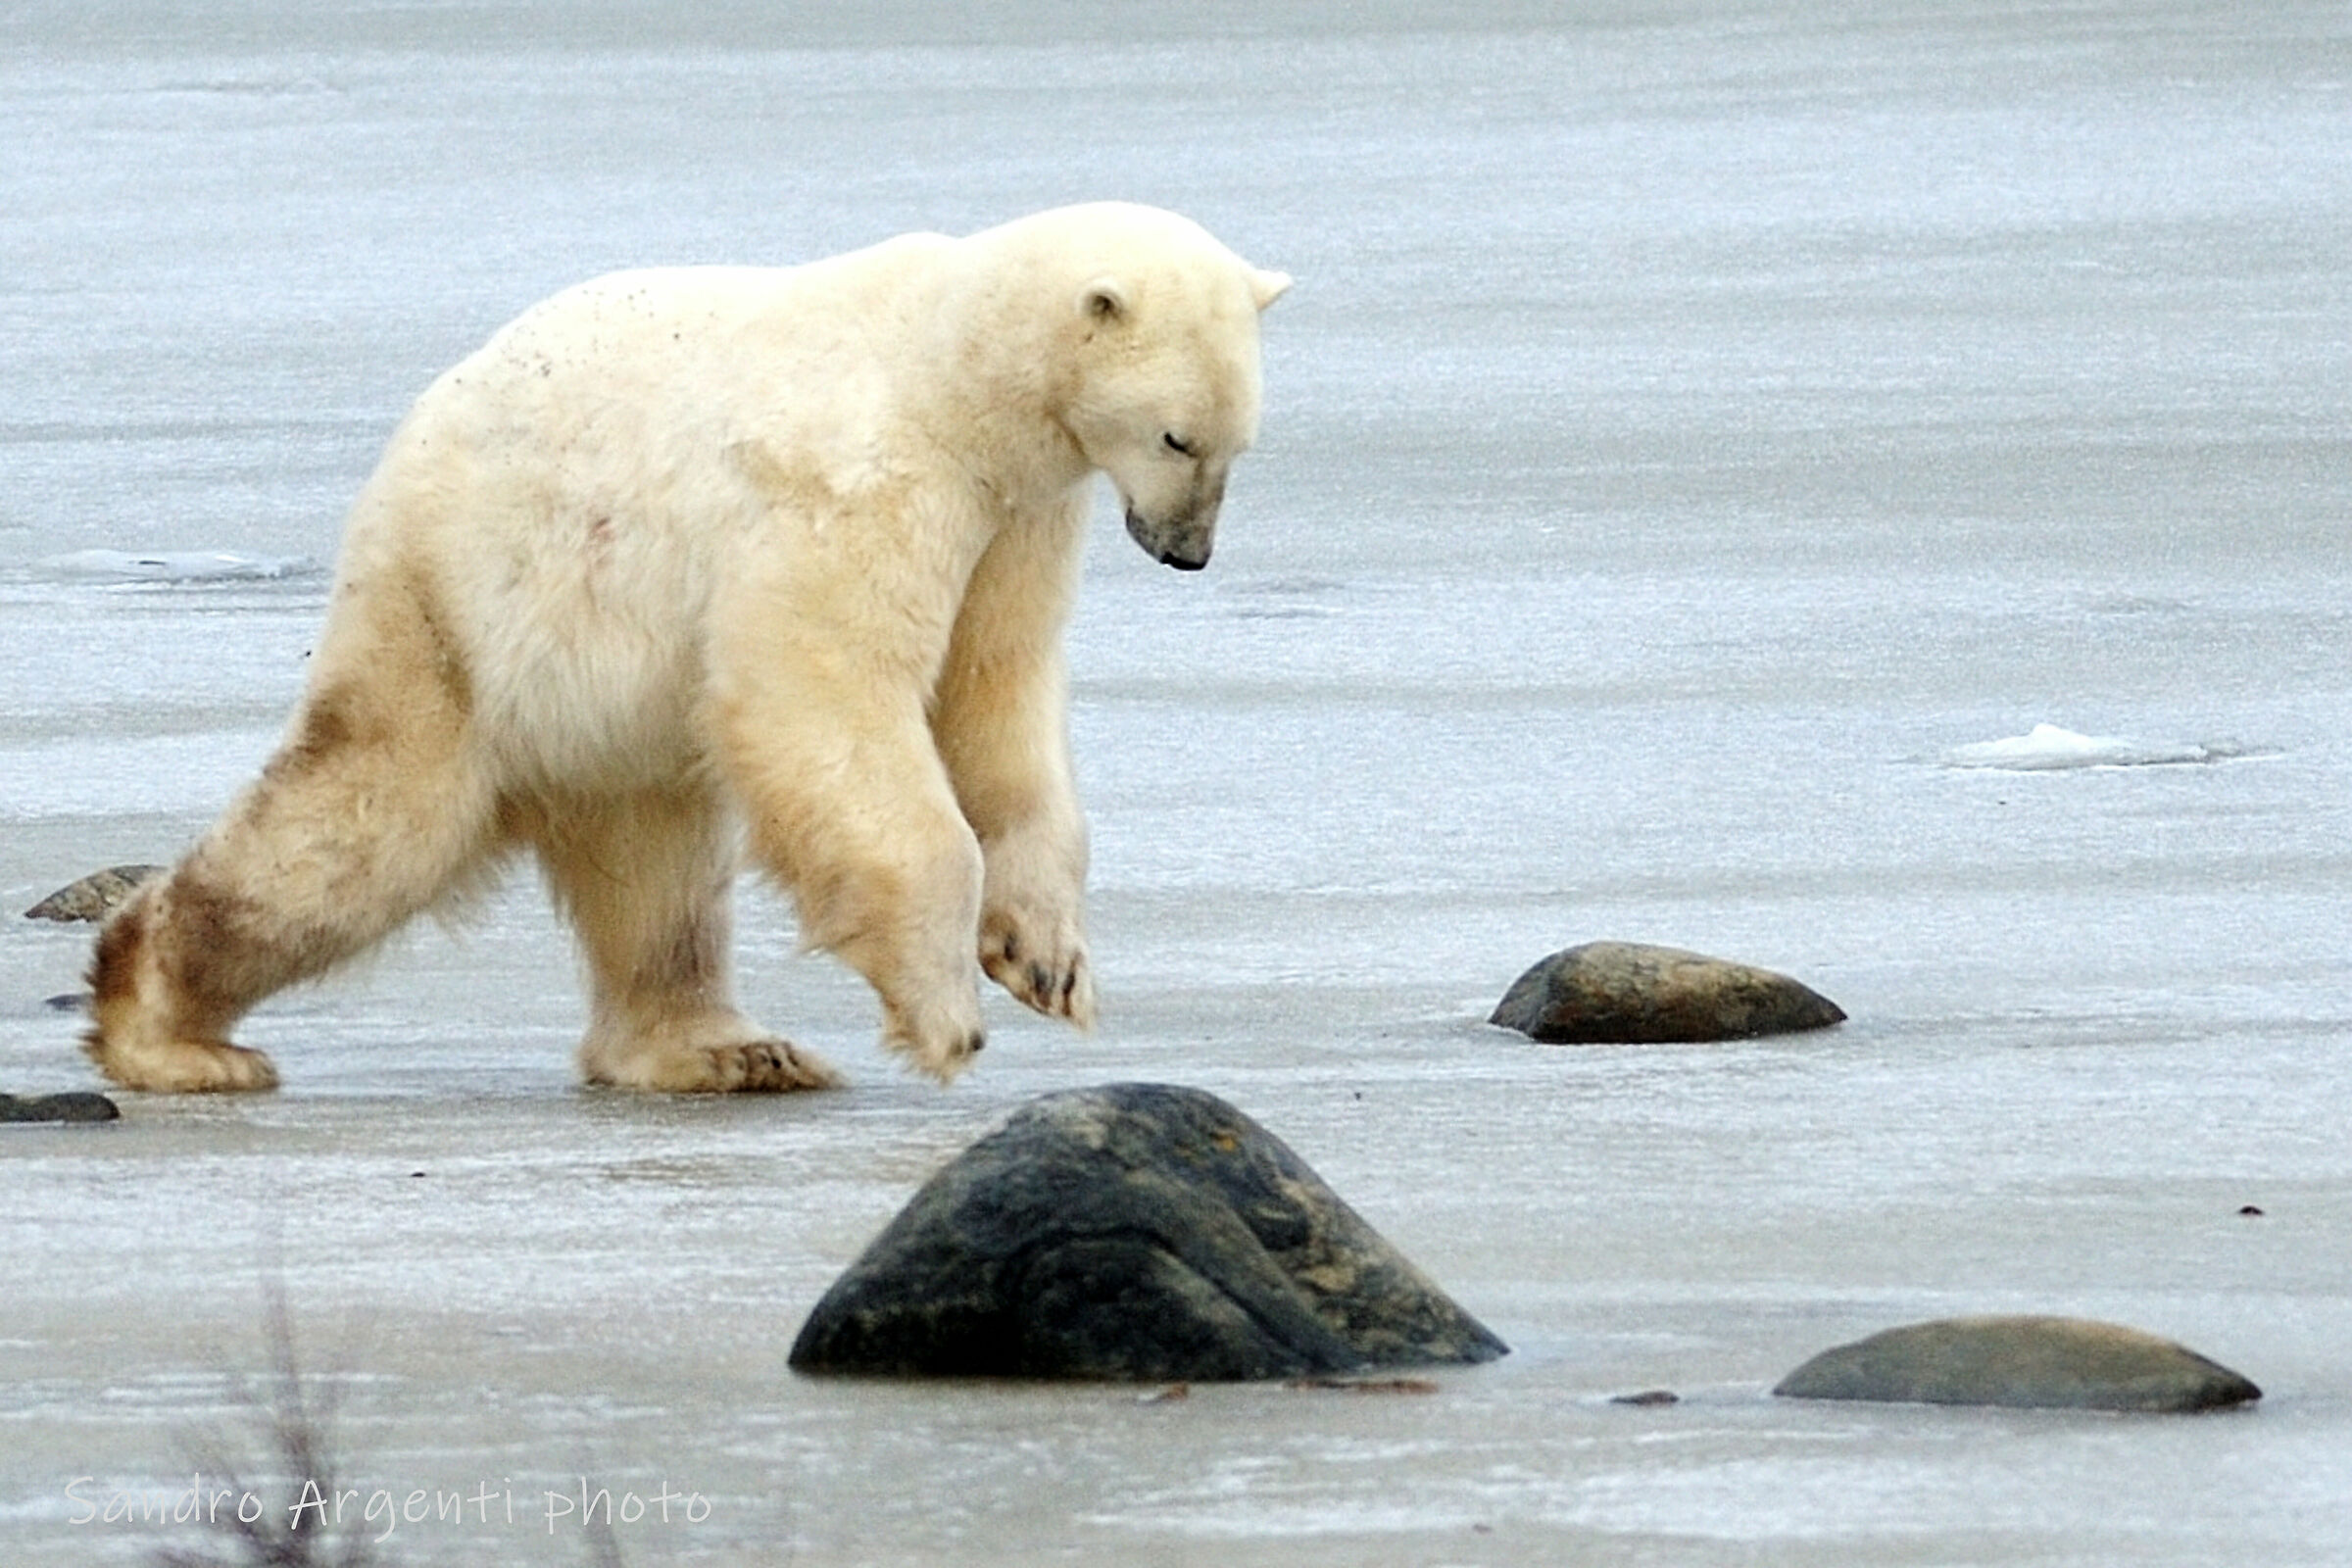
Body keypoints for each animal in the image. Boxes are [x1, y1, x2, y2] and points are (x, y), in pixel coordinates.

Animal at [84, 202, 1290, 1095]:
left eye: (1239, 441)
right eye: (1178, 435)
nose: (1187, 552)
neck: (955, 371)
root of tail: (402, 457)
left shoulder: (1018, 520)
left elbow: (995, 698)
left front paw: (1046, 960)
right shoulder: (860, 485)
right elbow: (828, 689)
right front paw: (944, 1014)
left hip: (613, 707)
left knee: (658, 879)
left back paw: (724, 1047)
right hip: (465, 618)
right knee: (358, 827)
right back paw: (171, 1033)